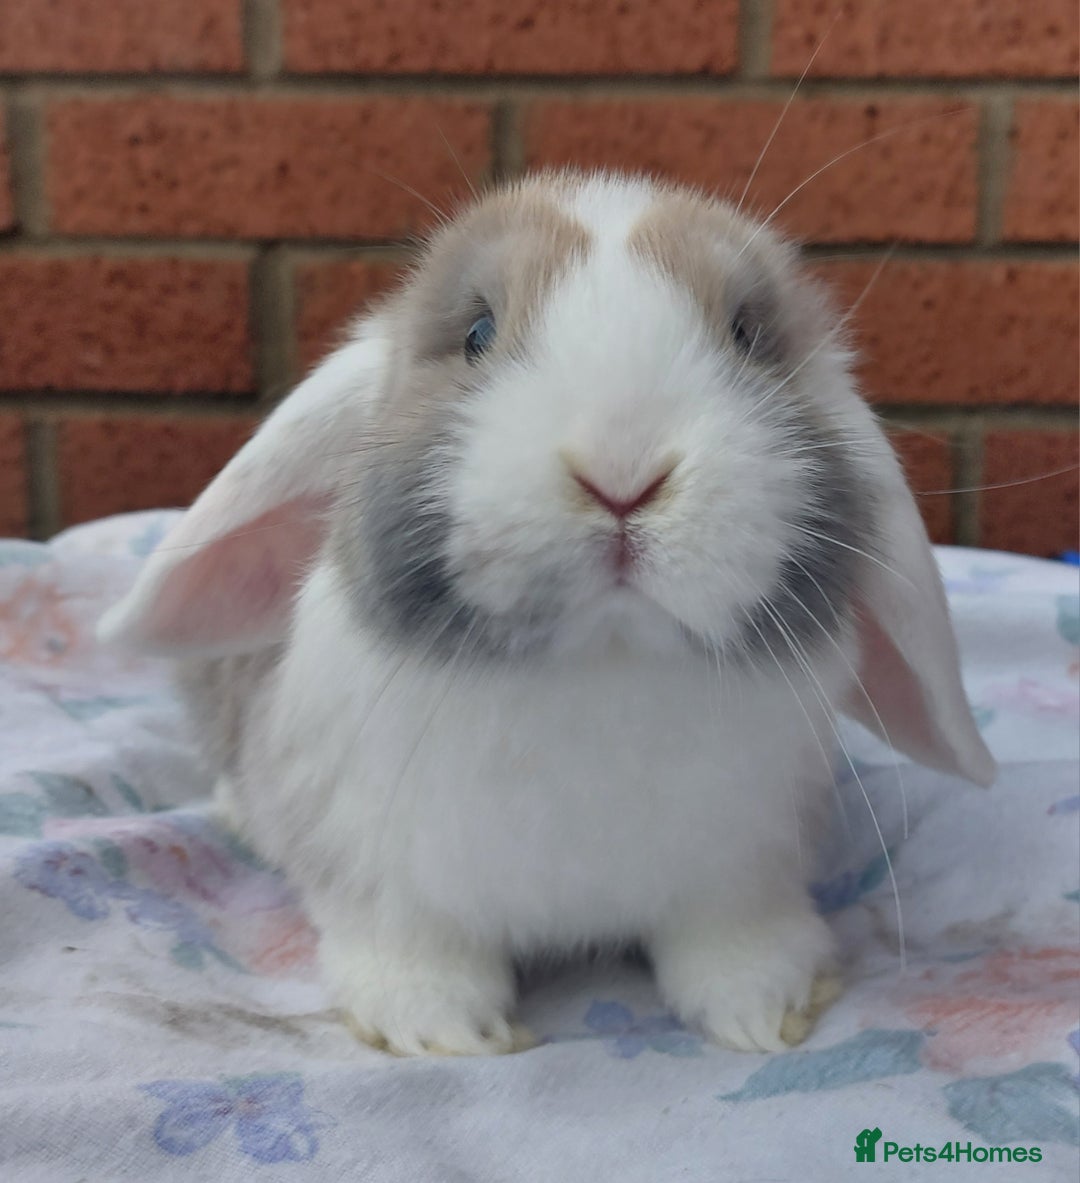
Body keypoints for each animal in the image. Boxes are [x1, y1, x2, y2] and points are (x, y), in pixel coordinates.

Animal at [97, 170, 995, 1057]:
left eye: (746, 333)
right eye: (477, 333)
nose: (622, 473)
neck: (604, 663)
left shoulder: (745, 869)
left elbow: (732, 940)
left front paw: (767, 1004)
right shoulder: (384, 878)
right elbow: (414, 947)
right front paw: (437, 1025)